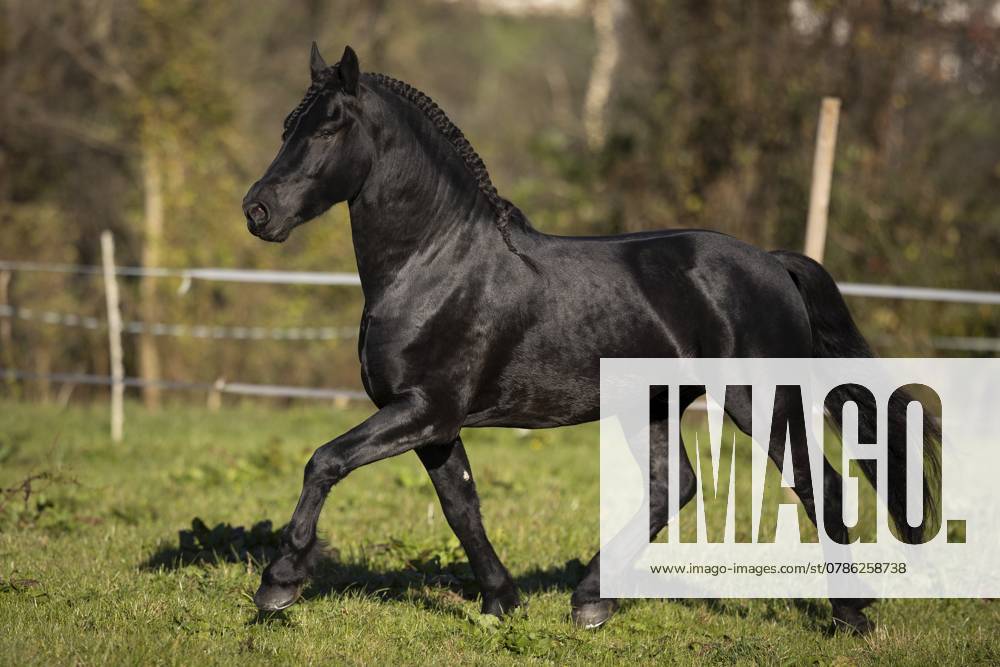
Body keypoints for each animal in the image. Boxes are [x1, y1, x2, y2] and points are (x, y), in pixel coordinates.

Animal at [242, 43, 935, 634]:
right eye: (286, 126)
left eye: (328, 127)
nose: (257, 212)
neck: (433, 264)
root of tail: (772, 263)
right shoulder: (434, 423)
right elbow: (461, 505)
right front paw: (501, 601)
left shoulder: (422, 409)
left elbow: (325, 461)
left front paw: (279, 583)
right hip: (652, 405)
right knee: (673, 487)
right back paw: (591, 600)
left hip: (761, 400)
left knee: (822, 486)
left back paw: (850, 614)